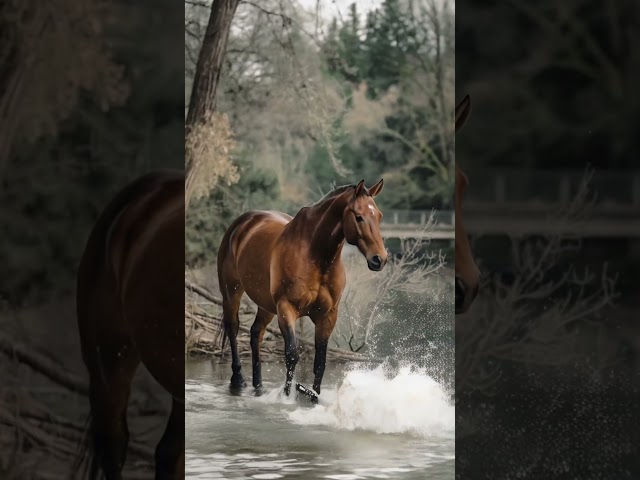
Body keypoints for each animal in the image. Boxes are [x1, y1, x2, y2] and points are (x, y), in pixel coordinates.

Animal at [218, 179, 388, 398]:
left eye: (379, 216)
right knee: (233, 328)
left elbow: (320, 362)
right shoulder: (287, 308)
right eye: (358, 216)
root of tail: (241, 224)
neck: (315, 255)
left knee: (256, 333)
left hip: (265, 304)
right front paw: (286, 395)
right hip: (231, 291)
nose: (379, 259)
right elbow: (292, 355)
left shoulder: (327, 316)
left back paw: (259, 385)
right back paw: (238, 379)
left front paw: (313, 396)